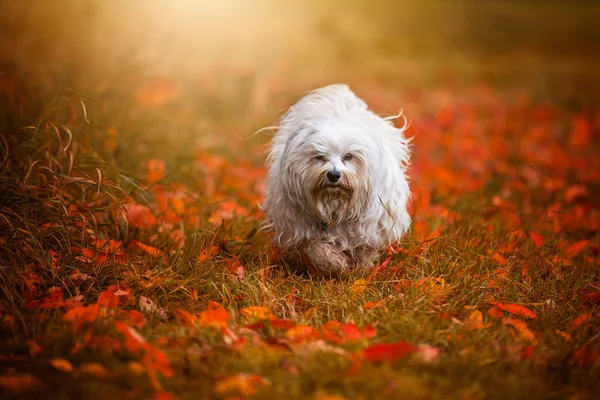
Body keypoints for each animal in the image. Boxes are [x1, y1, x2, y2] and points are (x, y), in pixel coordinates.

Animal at [264, 83, 410, 278]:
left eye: (348, 156)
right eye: (319, 157)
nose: (333, 175)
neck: (335, 205)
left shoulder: (369, 228)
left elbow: (363, 250)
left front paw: (359, 269)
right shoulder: (302, 230)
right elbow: (318, 249)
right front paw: (336, 265)